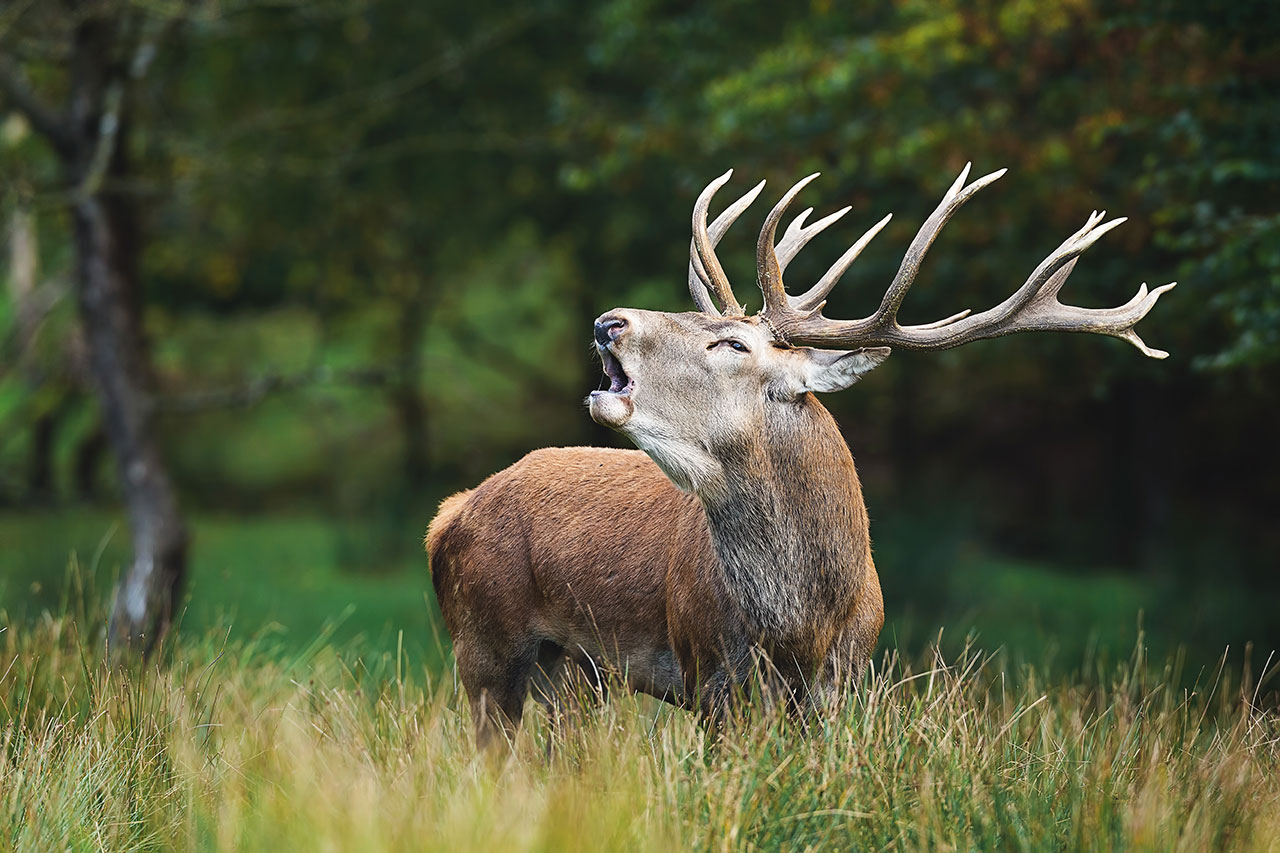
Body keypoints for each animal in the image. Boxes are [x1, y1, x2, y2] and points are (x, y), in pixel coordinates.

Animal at [424, 162, 1172, 747]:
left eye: (730, 342)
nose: (610, 322)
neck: (800, 620)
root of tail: (451, 511)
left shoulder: (843, 680)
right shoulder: (709, 670)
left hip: (573, 672)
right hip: (484, 642)